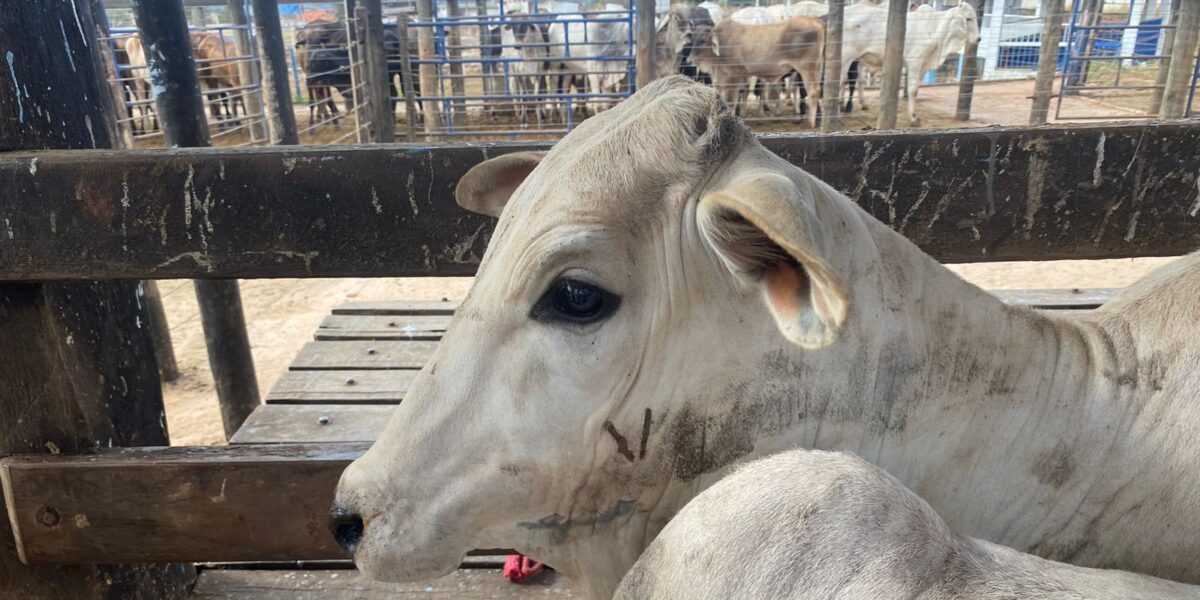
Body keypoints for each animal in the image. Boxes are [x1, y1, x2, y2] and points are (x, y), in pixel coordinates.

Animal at [840, 1, 979, 124]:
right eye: (968, 19)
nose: (978, 38)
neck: (935, 28)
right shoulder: (915, 62)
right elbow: (913, 90)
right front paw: (913, 118)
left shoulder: (921, 65)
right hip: (847, 57)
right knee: (843, 81)